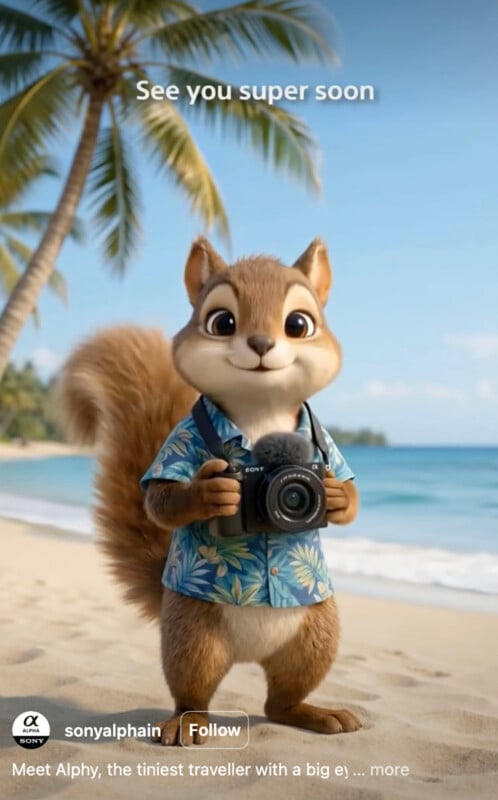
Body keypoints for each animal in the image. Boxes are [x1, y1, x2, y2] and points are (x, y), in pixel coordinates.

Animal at [59, 237, 361, 746]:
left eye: (299, 324)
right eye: (222, 322)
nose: (261, 344)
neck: (259, 413)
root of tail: (248, 655)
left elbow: (350, 496)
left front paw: (337, 497)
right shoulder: (178, 446)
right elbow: (161, 498)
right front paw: (211, 495)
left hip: (316, 634)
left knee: (280, 700)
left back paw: (317, 713)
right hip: (193, 635)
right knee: (194, 690)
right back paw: (187, 723)